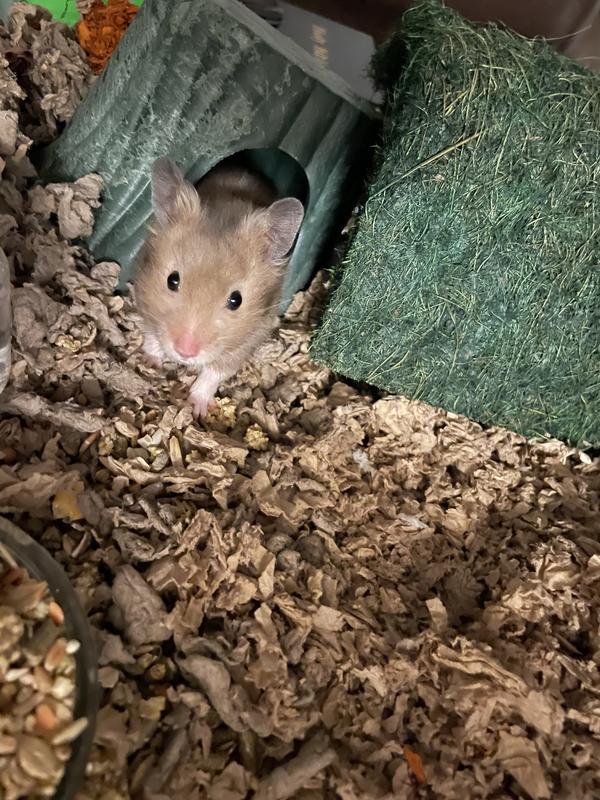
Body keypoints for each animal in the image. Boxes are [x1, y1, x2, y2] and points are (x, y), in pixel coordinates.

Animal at [134, 157, 305, 416]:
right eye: (172, 280)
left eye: (236, 300)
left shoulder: (249, 339)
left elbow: (215, 373)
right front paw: (148, 362)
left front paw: (197, 408)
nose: (185, 352)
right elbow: (151, 334)